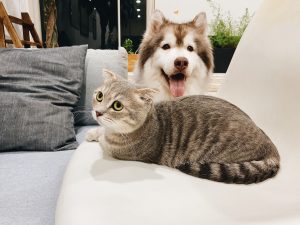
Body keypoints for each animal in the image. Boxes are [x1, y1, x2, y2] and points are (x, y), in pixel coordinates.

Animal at [85, 70, 280, 185]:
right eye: (100, 96)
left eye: (117, 106)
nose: (98, 112)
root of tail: (269, 145)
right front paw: (93, 132)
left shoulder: (118, 152)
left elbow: (104, 141)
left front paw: (98, 135)